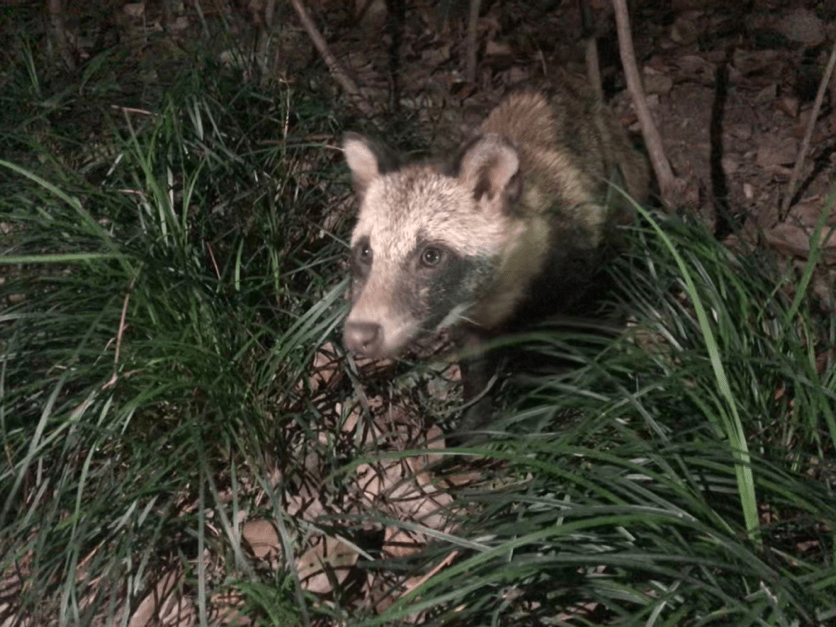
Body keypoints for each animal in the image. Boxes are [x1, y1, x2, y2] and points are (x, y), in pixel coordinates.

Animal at [342, 86, 648, 432]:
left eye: (430, 256)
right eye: (366, 252)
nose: (359, 335)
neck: (494, 293)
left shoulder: (575, 268)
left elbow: (561, 348)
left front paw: (534, 410)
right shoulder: (467, 316)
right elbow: (476, 367)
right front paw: (473, 422)